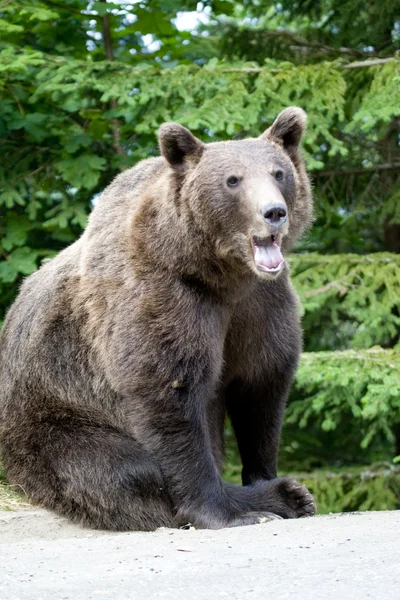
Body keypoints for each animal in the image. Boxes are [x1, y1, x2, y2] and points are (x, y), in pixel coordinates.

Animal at [0, 108, 316, 528]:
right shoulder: (163, 298)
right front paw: (222, 510)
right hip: (50, 413)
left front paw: (269, 477)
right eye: (233, 180)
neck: (223, 274)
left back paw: (289, 496)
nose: (274, 213)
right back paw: (268, 501)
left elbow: (260, 384)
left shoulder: (261, 305)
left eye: (278, 173)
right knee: (123, 468)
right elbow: (168, 394)